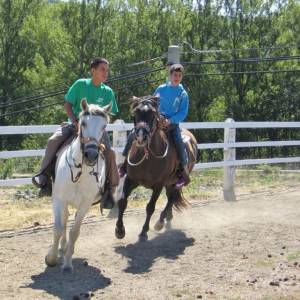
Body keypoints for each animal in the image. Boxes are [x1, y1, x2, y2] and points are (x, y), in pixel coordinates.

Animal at [44, 99, 110, 274]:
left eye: (104, 126)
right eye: (83, 123)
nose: (91, 155)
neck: (81, 171)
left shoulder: (85, 204)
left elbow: (75, 232)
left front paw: (67, 264)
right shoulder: (59, 199)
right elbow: (58, 228)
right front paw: (51, 259)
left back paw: (67, 249)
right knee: (63, 221)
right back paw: (61, 248)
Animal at [115, 96, 197, 241]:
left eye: (153, 114)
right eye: (136, 112)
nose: (141, 136)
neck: (148, 158)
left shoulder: (158, 185)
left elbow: (150, 207)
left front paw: (144, 231)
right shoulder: (130, 179)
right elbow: (122, 201)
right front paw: (119, 230)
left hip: (177, 181)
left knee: (172, 198)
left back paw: (160, 222)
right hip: (170, 183)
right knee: (171, 197)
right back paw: (168, 219)